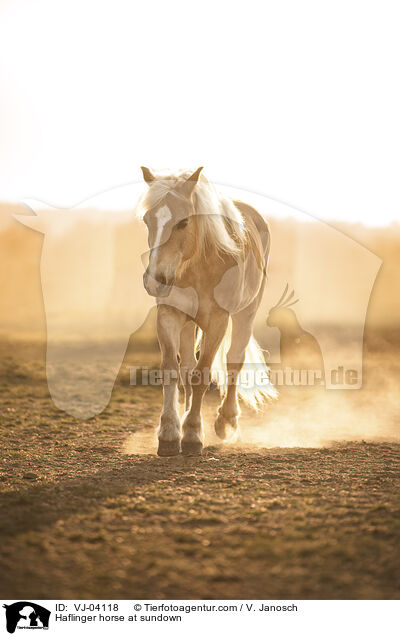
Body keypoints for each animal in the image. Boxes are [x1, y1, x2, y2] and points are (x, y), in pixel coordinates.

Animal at [139, 168, 276, 458]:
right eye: (147, 220)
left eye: (183, 222)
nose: (155, 280)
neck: (197, 266)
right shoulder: (169, 314)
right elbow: (172, 369)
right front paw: (169, 433)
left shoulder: (217, 321)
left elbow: (202, 375)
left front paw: (192, 434)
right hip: (188, 323)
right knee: (187, 367)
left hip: (246, 312)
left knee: (234, 360)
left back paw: (226, 420)